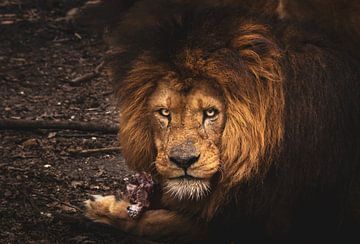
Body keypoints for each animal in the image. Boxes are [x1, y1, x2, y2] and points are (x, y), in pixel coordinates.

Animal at [83, 0, 358, 243]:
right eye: (164, 112)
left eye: (210, 113)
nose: (183, 161)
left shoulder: (265, 224)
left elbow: (160, 222)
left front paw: (105, 208)